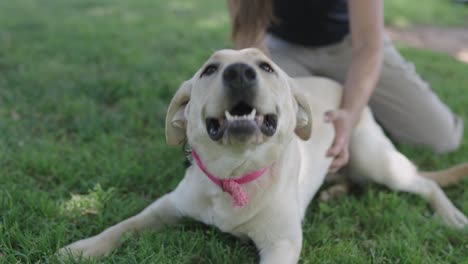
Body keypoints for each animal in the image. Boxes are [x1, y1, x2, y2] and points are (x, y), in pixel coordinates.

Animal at [59, 48, 468, 262]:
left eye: (266, 66)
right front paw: (82, 248)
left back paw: (452, 216)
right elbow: (122, 226)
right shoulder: (168, 205)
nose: (239, 72)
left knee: (425, 184)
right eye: (210, 69)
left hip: (377, 161)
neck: (233, 176)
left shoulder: (282, 244)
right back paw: (335, 190)